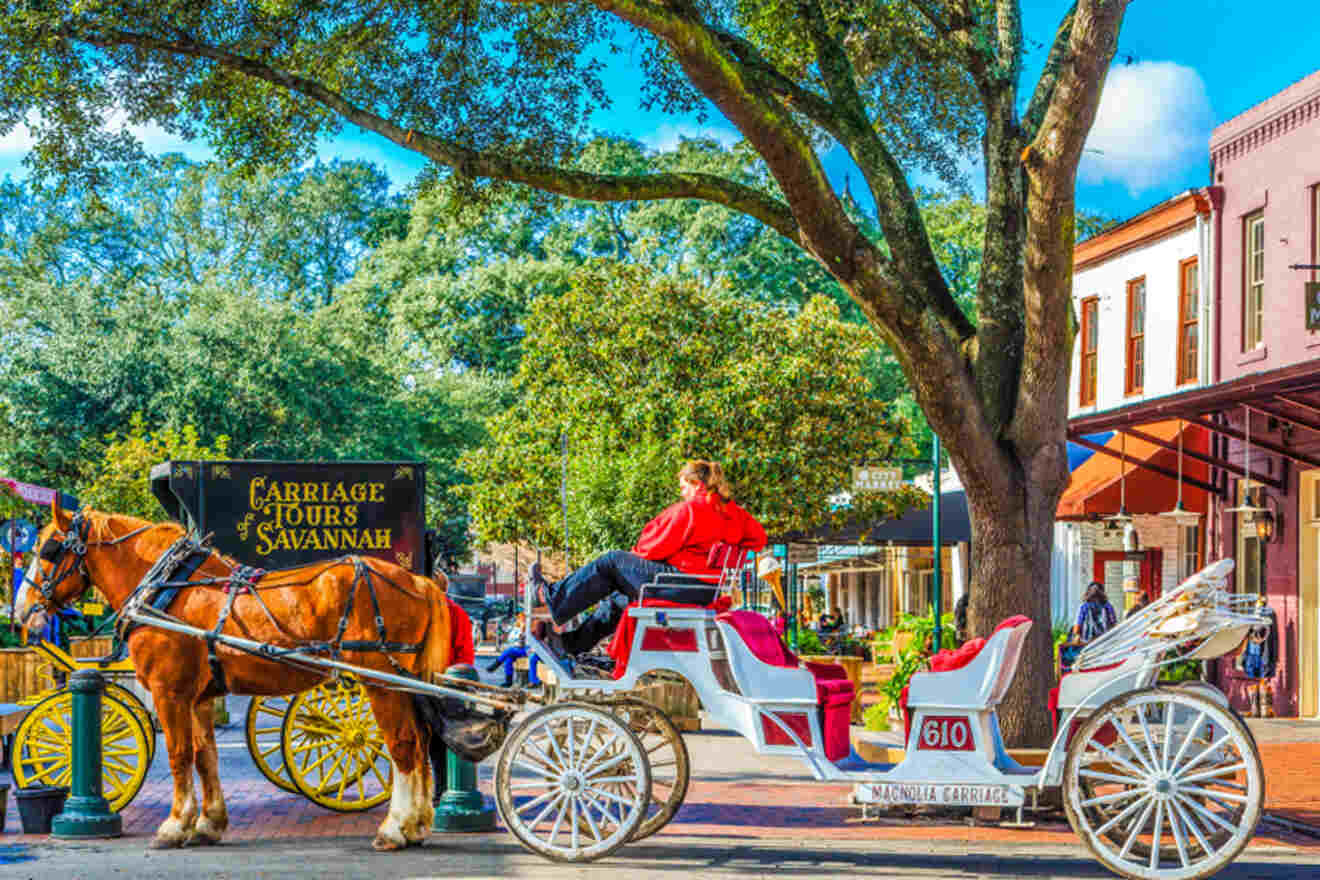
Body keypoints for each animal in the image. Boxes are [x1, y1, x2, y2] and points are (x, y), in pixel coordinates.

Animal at [18, 501, 467, 854]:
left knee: (402, 745)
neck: (168, 591)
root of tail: (419, 580)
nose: (21, 611)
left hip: (381, 681)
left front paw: (174, 825)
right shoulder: (198, 696)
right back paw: (417, 823)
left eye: (48, 550)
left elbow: (179, 756)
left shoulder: (169, 692)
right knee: (421, 743)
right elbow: (204, 757)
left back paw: (394, 828)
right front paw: (208, 824)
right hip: (404, 682)